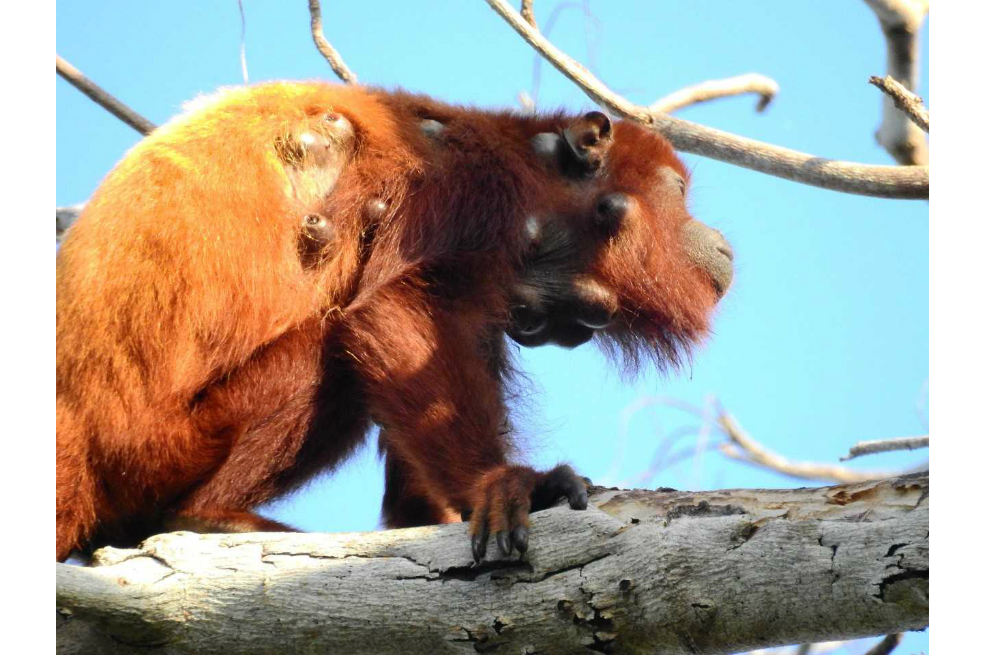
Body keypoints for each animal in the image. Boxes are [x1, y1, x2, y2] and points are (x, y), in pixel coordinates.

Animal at [56, 82, 733, 562]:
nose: (721, 242)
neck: (528, 157)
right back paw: (206, 517)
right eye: (678, 192)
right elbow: (394, 312)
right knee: (328, 351)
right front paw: (501, 484)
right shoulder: (472, 187)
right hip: (159, 450)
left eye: (580, 321)